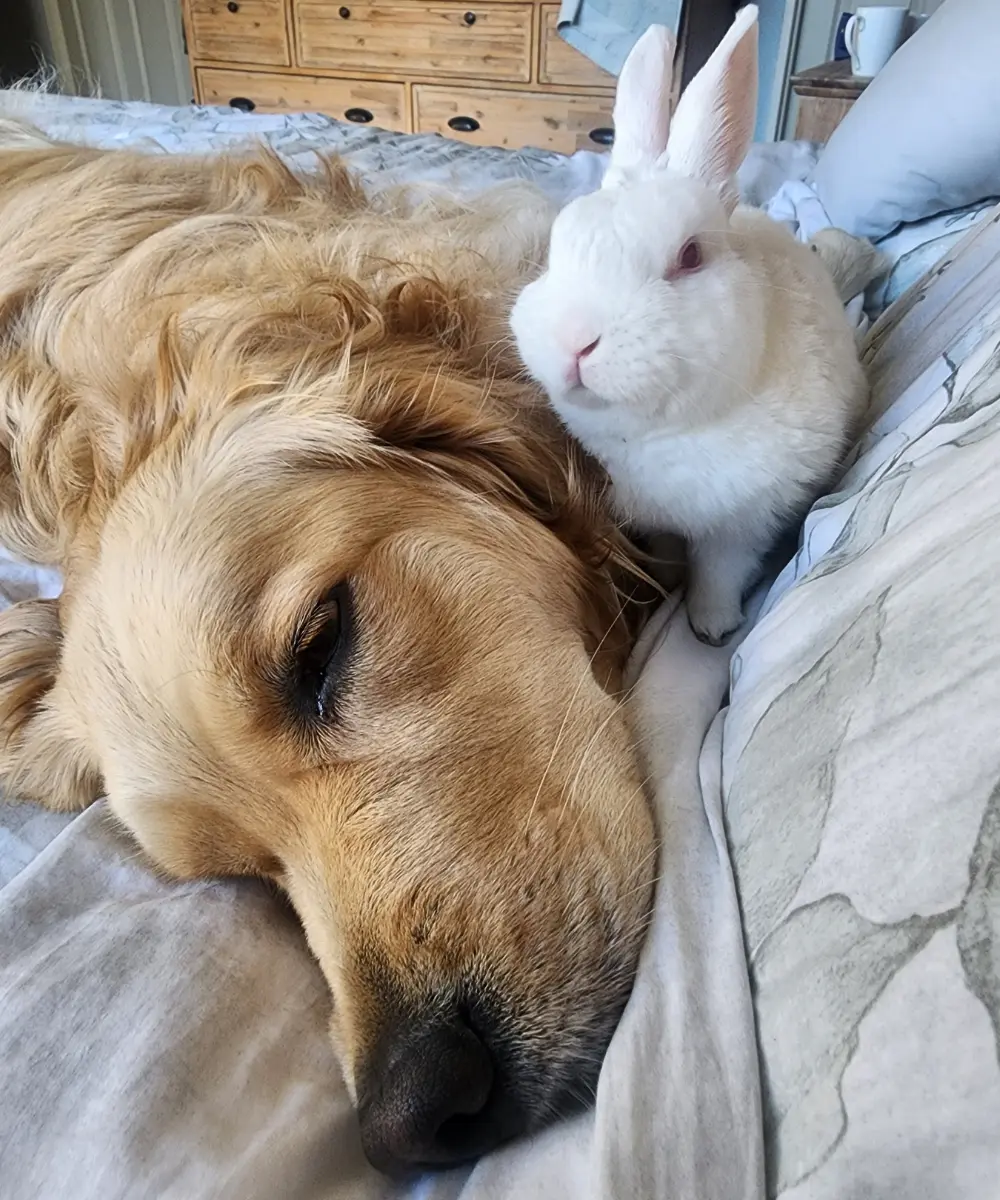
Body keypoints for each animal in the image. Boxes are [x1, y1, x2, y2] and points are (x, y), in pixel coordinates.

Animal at [510, 6, 871, 645]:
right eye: (555, 250)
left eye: (691, 256)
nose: (574, 342)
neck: (659, 434)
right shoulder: (652, 518)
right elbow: (666, 549)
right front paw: (666, 580)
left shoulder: (744, 523)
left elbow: (719, 572)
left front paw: (711, 626)